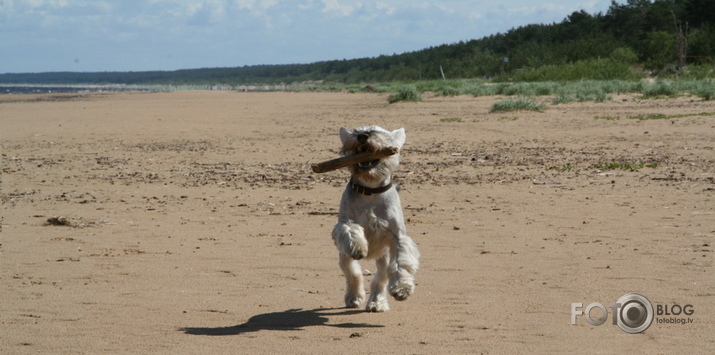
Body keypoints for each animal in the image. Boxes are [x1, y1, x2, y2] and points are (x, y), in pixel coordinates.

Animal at [332, 125, 420, 312]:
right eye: (356, 130)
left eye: (379, 132)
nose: (362, 136)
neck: (370, 190)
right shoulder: (345, 223)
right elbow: (351, 230)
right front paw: (358, 246)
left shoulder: (397, 236)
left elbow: (401, 262)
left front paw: (402, 288)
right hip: (343, 255)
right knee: (352, 272)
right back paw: (354, 297)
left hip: (384, 257)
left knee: (380, 278)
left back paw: (376, 302)